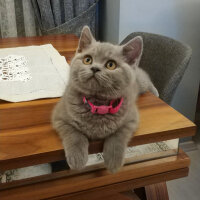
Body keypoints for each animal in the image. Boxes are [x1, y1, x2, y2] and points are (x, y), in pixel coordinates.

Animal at [52, 26, 159, 173]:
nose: (95, 68)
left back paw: (156, 92)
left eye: (110, 65)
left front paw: (113, 160)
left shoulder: (132, 118)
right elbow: (74, 133)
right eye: (87, 60)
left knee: (146, 78)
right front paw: (77, 158)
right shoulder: (59, 116)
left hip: (140, 82)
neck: (98, 104)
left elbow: (119, 135)